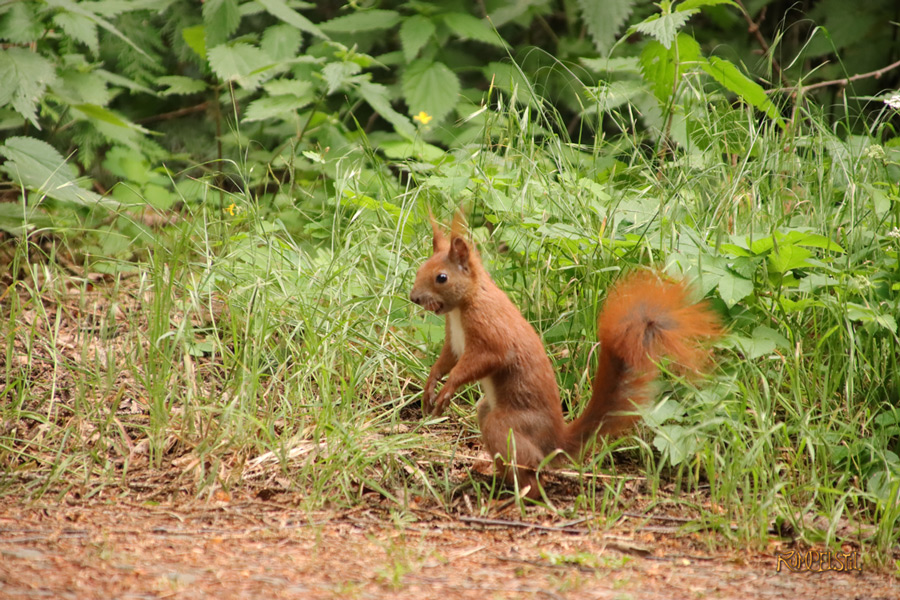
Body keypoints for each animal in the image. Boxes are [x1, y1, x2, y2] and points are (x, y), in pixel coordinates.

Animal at [409, 214, 722, 499]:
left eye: (441, 277)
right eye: (421, 268)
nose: (414, 298)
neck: (467, 302)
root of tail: (555, 443)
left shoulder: (491, 333)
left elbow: (481, 361)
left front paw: (448, 389)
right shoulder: (454, 340)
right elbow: (446, 360)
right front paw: (431, 385)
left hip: (509, 424)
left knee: (532, 474)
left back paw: (518, 496)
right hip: (488, 413)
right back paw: (495, 482)